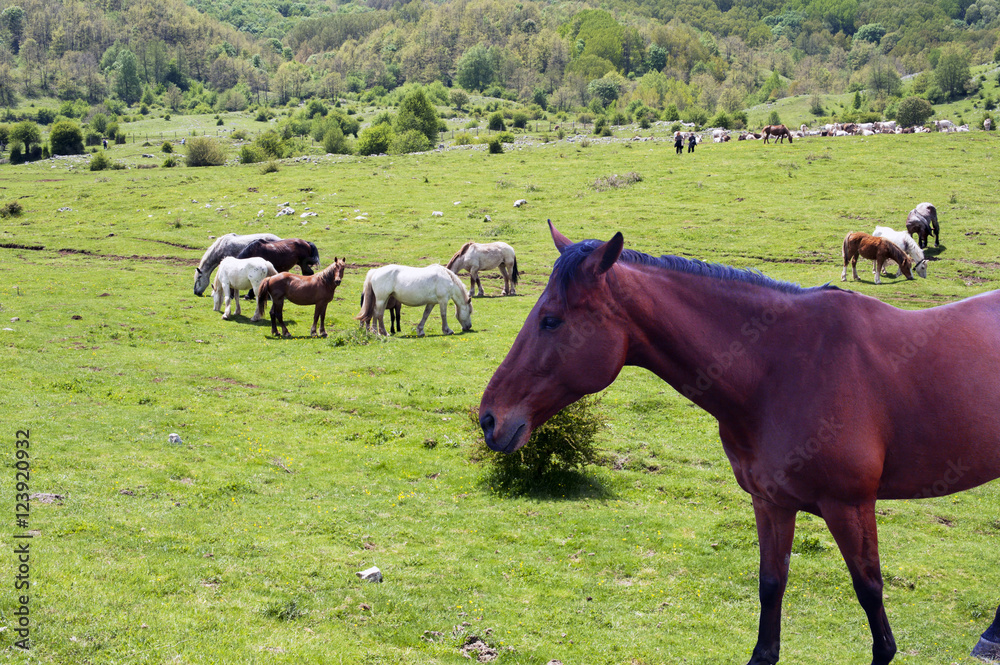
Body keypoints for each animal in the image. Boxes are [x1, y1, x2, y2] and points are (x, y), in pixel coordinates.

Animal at [476, 222, 1000, 664]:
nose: (489, 419)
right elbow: (771, 587)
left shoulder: (850, 505)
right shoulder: (771, 503)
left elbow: (872, 600)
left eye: (550, 320)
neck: (778, 369)